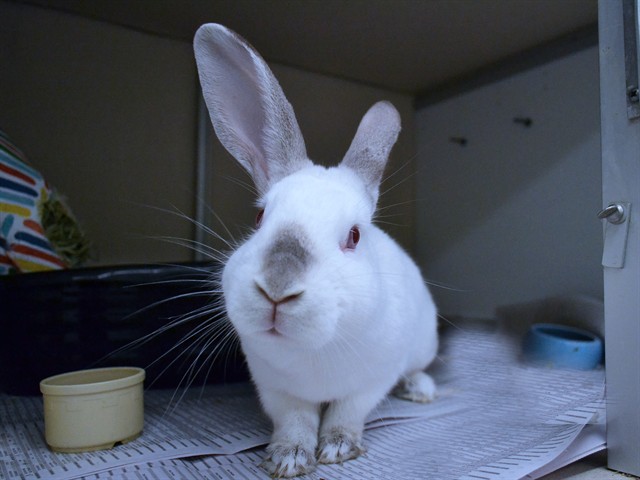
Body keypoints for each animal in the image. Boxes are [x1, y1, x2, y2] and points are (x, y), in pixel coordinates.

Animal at [194, 23, 438, 478]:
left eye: (354, 236)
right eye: (260, 218)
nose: (277, 288)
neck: (314, 350)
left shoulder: (372, 380)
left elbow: (346, 414)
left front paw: (338, 449)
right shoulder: (275, 387)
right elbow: (296, 420)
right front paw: (289, 458)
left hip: (423, 344)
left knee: (416, 369)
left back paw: (421, 390)